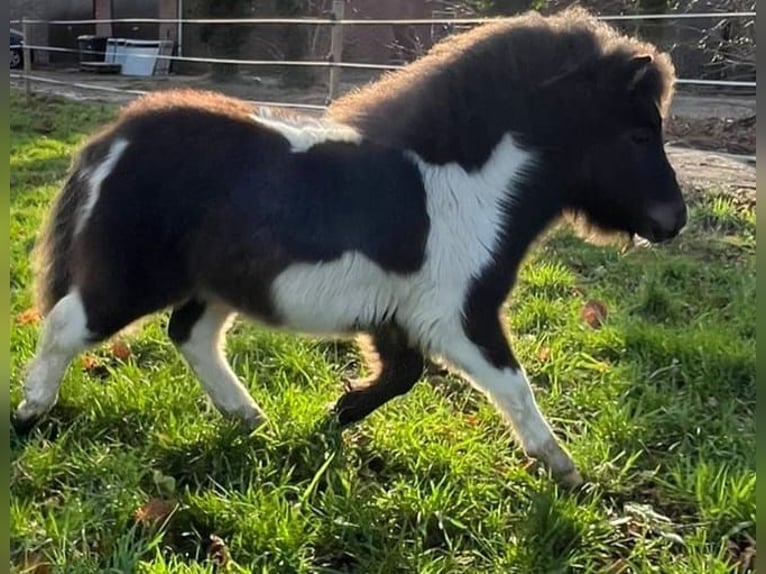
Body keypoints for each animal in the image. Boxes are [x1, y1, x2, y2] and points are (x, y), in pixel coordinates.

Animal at [13, 7, 686, 488]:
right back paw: (29, 414)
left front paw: (335, 415)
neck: (466, 185)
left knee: (190, 336)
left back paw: (252, 419)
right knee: (68, 324)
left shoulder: (400, 317)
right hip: (133, 278)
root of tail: (113, 141)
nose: (674, 221)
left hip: (216, 285)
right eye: (637, 134)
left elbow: (402, 376)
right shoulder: (460, 317)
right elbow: (512, 384)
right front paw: (566, 470)